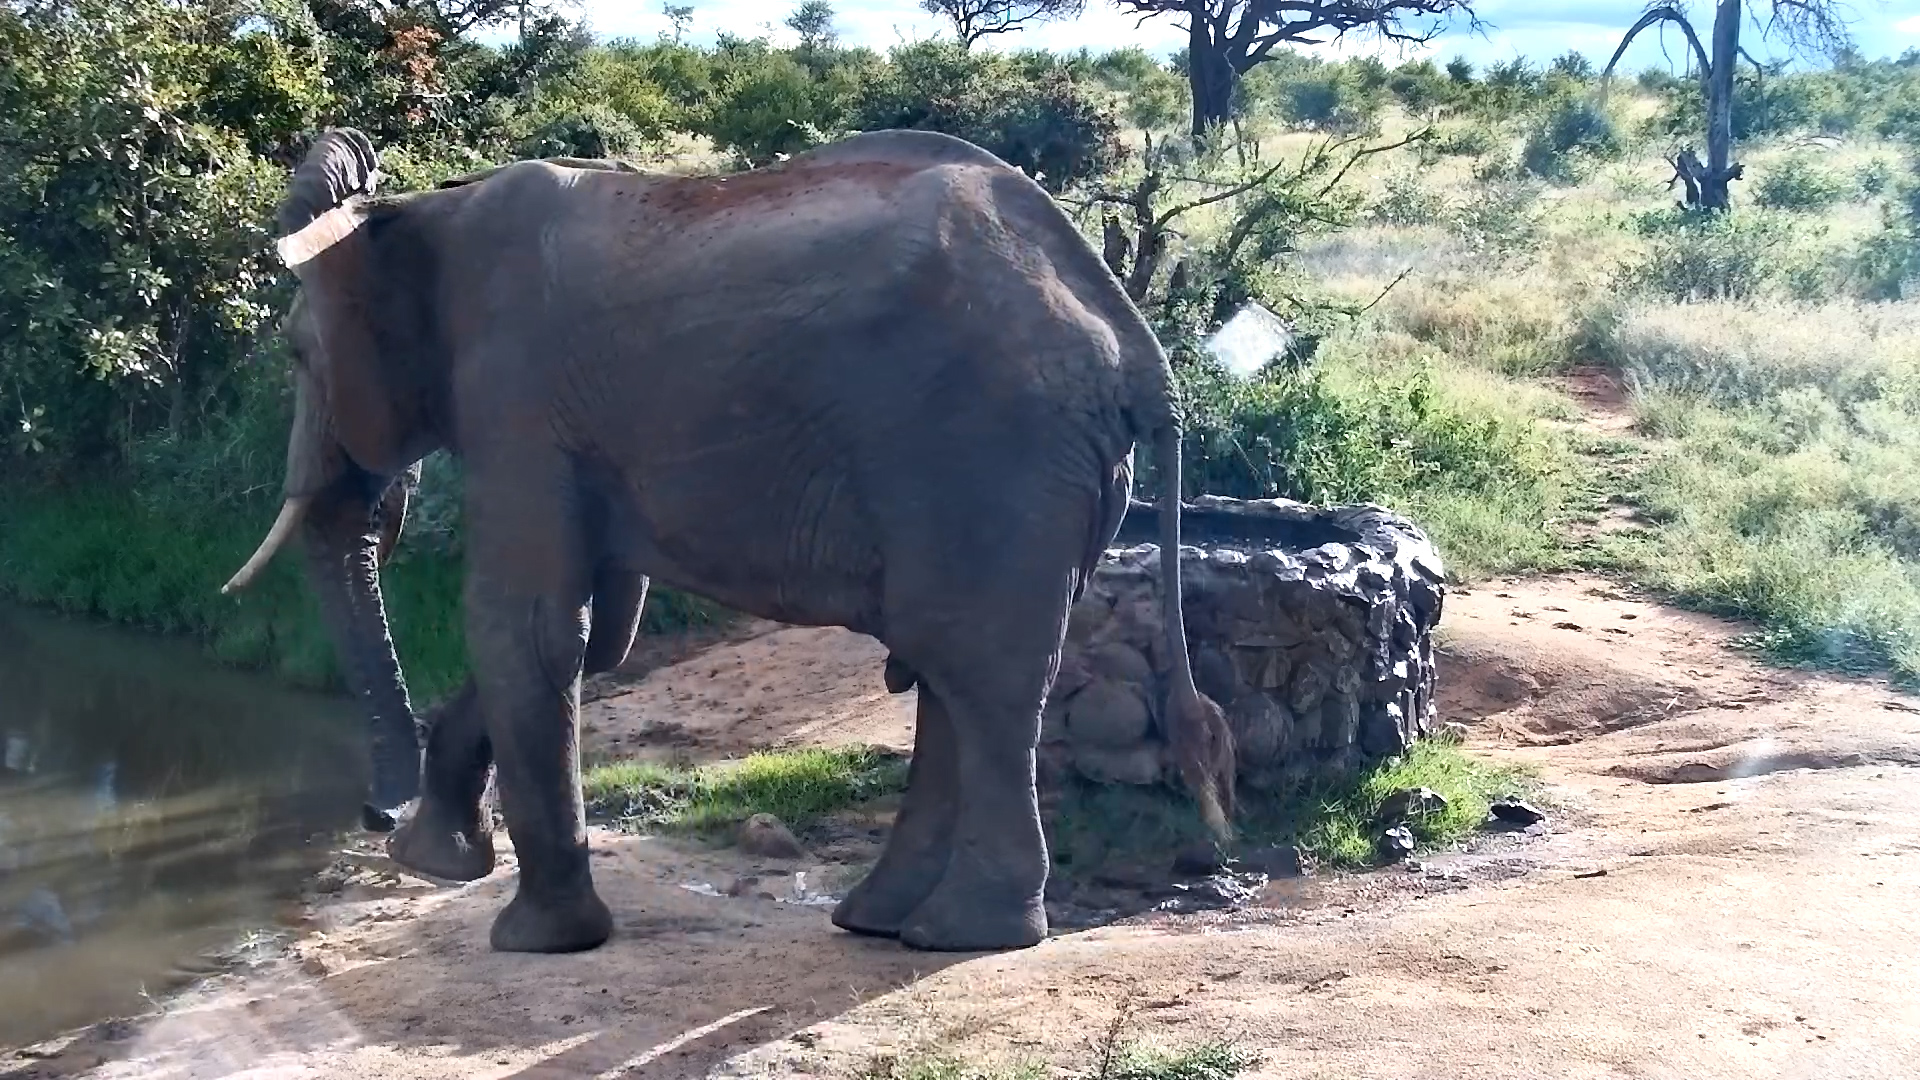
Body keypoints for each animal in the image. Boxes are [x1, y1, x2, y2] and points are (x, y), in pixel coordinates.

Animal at [220, 125, 1237, 955]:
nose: (370, 814)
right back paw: (882, 921)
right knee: (955, 672)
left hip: (993, 452)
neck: (428, 207)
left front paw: (531, 937)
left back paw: (960, 936)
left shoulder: (518, 398)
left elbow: (530, 630)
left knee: (977, 674)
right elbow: (598, 636)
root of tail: (1140, 352)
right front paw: (434, 862)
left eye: (296, 354)